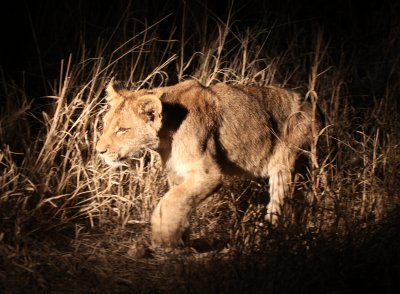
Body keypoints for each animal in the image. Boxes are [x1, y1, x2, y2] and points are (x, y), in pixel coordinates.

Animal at [96, 77, 318, 246]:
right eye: (106, 124)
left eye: (122, 130)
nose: (99, 151)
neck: (168, 132)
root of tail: (310, 103)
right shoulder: (178, 173)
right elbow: (180, 200)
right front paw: (180, 238)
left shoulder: (209, 173)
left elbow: (171, 200)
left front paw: (162, 237)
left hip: (286, 163)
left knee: (279, 203)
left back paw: (267, 236)